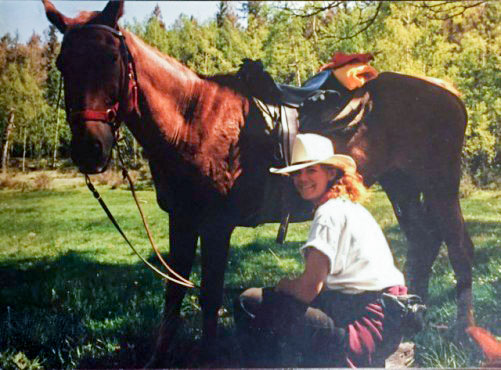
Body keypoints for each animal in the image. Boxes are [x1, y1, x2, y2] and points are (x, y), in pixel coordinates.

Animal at [42, 0, 472, 364]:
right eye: (63, 63)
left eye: (112, 58)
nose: (89, 149)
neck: (191, 120)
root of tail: (447, 90)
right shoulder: (181, 220)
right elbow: (175, 293)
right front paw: (159, 360)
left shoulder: (216, 225)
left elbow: (210, 293)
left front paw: (208, 358)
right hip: (402, 185)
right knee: (423, 243)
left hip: (440, 185)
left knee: (458, 249)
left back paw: (462, 334)